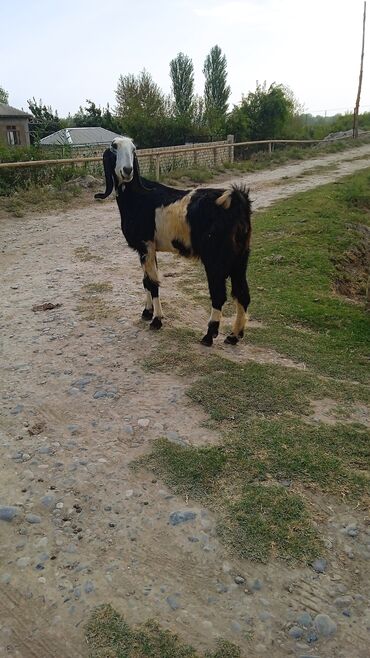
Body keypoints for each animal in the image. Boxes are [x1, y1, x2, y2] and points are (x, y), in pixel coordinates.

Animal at [94, 136, 251, 346]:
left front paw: (156, 320)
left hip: (215, 259)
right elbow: (146, 280)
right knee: (242, 293)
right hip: (241, 256)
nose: (127, 170)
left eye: (134, 149)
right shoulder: (147, 248)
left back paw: (209, 336)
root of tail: (236, 200)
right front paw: (147, 312)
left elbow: (153, 282)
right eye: (114, 147)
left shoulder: (146, 245)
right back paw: (233, 336)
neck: (138, 197)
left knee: (219, 295)